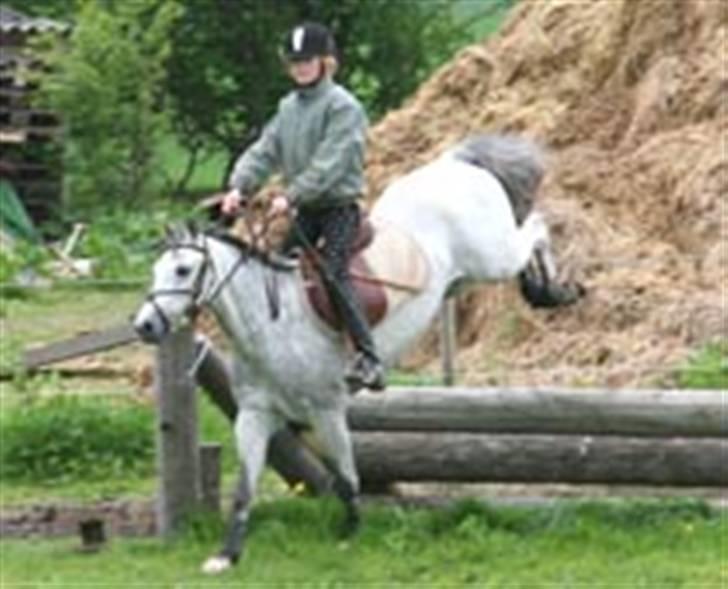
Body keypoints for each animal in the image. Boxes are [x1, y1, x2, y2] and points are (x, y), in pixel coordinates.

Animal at [132, 133, 584, 574]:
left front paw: (350, 532)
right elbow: (246, 487)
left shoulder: (326, 410)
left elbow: (347, 477)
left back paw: (553, 291)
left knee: (536, 228)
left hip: (494, 255)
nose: (145, 326)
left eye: (183, 271)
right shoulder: (255, 415)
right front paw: (227, 555)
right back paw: (544, 290)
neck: (272, 323)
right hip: (468, 275)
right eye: (156, 270)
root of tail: (456, 163)